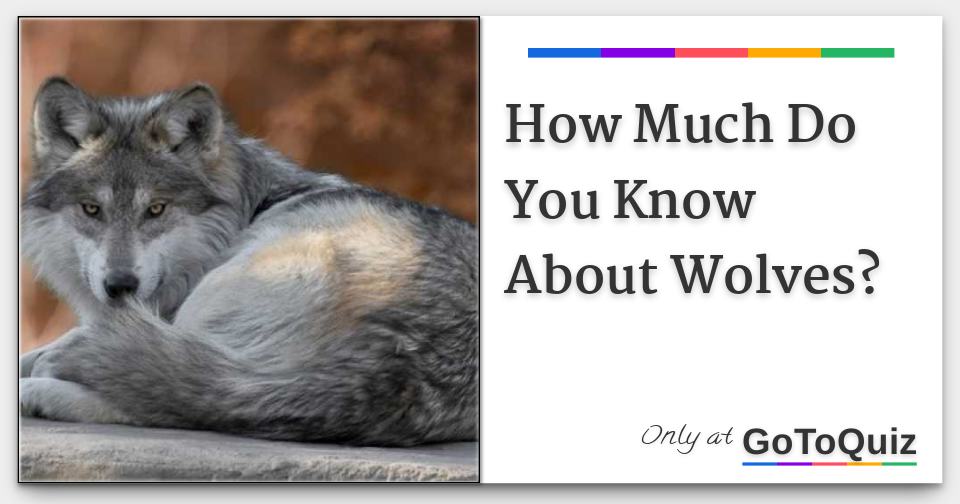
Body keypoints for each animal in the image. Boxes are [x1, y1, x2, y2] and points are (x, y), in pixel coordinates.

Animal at [19, 77, 478, 446]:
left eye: (157, 209)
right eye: (91, 209)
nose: (120, 285)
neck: (249, 207)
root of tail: (399, 369)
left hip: (224, 295)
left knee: (173, 401)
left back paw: (40, 392)